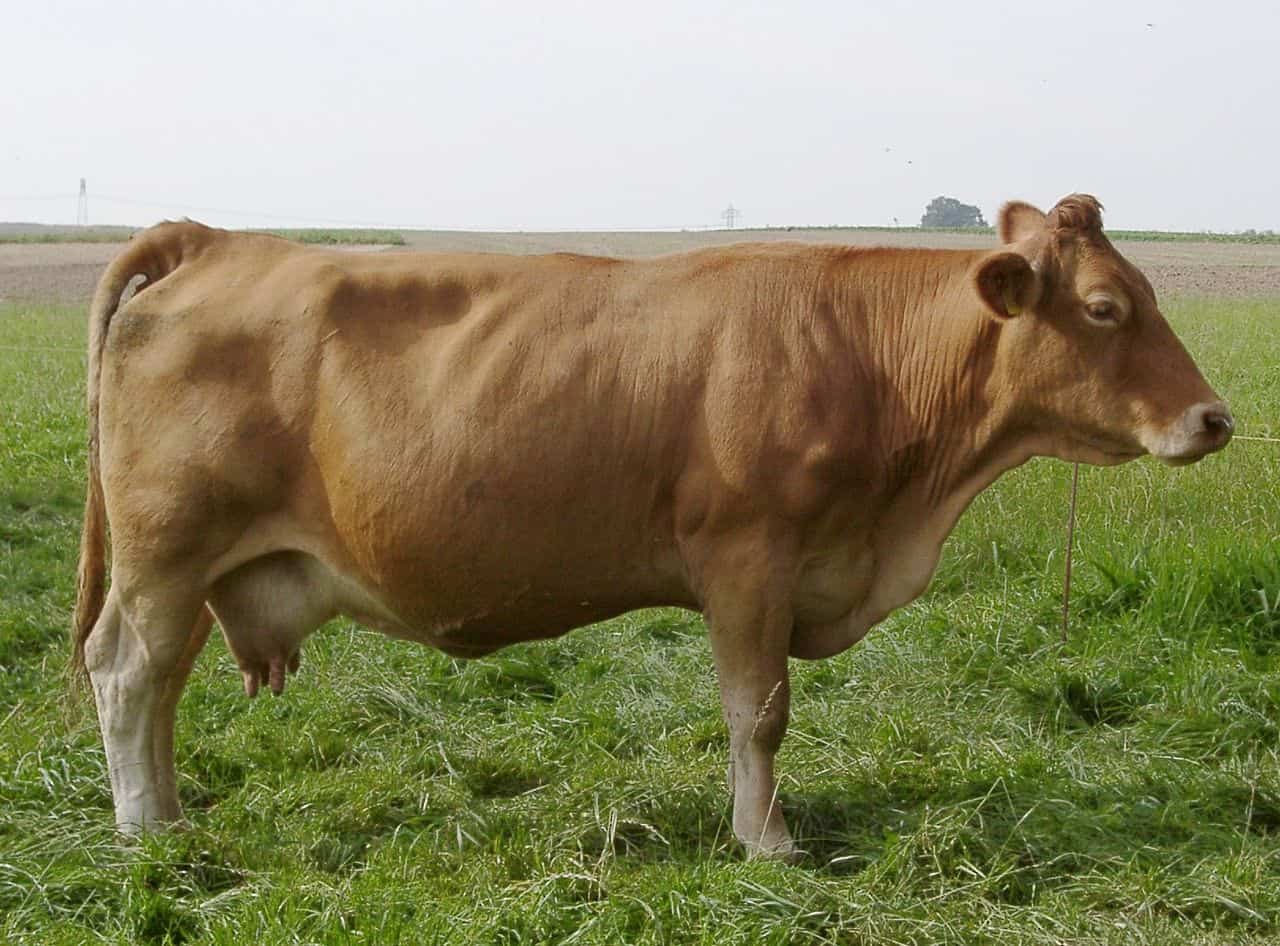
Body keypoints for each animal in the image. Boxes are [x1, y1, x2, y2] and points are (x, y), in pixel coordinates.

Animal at [73, 195, 1231, 858]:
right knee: (128, 673)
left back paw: (169, 815)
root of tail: (216, 241)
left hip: (196, 564)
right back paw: (146, 834)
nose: (1214, 419)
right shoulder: (749, 559)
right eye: (1104, 307)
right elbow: (759, 712)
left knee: (159, 685)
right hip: (165, 552)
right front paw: (766, 842)